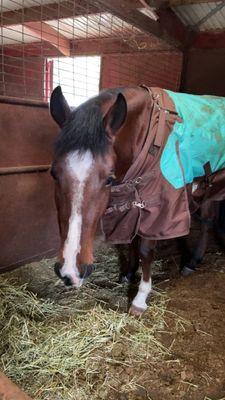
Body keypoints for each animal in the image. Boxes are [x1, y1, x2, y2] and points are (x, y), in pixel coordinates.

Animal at [49, 85, 225, 316]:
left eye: (109, 178)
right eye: (53, 173)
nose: (70, 271)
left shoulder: (158, 205)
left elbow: (146, 250)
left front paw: (140, 298)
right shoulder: (130, 200)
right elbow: (131, 238)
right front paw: (128, 273)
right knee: (207, 219)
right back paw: (193, 260)